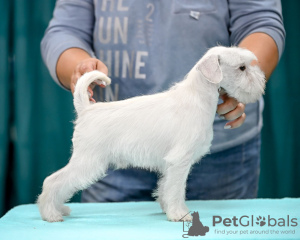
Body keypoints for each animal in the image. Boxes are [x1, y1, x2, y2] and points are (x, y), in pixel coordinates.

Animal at [37, 46, 264, 222]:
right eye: (242, 68)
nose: (261, 81)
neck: (197, 97)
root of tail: (86, 110)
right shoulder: (180, 161)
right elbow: (176, 189)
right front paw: (179, 214)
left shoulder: (170, 165)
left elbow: (166, 188)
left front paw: (168, 208)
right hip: (87, 161)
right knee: (53, 181)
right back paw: (51, 214)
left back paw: (59, 209)